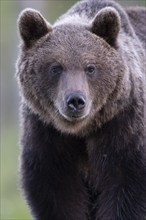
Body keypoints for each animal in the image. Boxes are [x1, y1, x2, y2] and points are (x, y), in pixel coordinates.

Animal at [15, 0, 145, 220]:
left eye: (90, 67)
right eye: (55, 67)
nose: (75, 100)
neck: (82, 130)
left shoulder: (124, 127)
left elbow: (127, 190)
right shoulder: (47, 135)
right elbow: (58, 194)